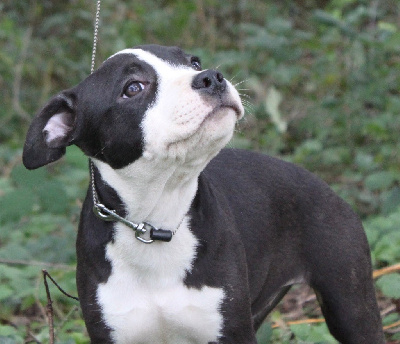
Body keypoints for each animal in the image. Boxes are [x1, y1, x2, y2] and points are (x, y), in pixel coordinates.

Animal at [24, 45, 384, 344]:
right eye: (133, 88)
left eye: (193, 62)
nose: (210, 76)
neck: (156, 219)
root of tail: (324, 185)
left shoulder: (231, 332)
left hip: (350, 303)